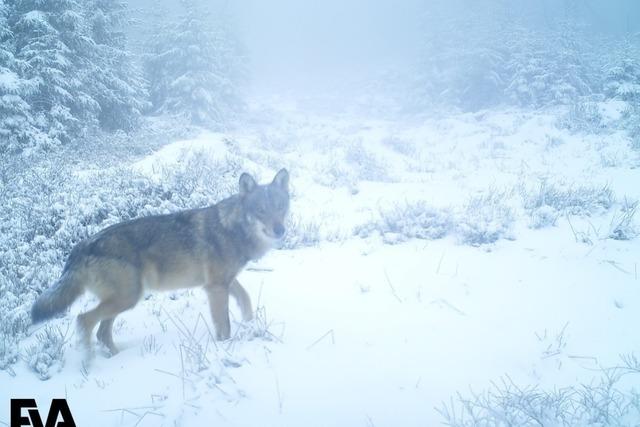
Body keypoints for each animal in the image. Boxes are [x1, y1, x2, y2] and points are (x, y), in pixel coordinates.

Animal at [30, 169, 290, 356]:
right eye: (260, 210)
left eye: (280, 207)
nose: (280, 230)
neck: (233, 229)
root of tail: (81, 246)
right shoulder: (216, 288)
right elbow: (223, 325)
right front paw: (225, 348)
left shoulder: (223, 283)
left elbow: (245, 299)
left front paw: (250, 324)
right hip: (127, 298)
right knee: (84, 320)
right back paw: (90, 361)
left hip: (124, 300)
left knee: (102, 332)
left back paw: (116, 357)